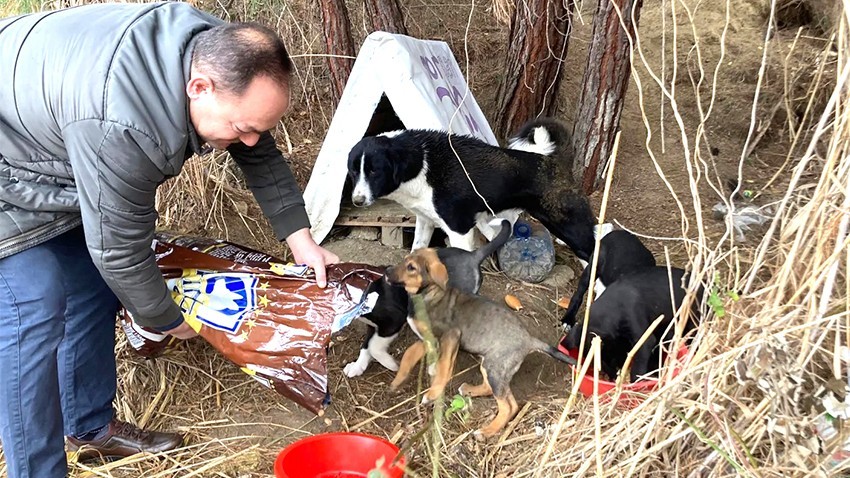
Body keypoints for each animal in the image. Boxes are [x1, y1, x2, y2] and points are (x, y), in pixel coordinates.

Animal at [340, 218, 510, 380]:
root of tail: (473, 256)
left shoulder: (392, 321)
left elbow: (374, 347)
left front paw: (391, 364)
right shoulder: (373, 326)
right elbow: (366, 346)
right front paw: (357, 366)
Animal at [348, 119, 592, 262]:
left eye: (374, 171)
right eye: (352, 172)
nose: (357, 201)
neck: (421, 164)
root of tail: (553, 161)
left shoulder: (460, 230)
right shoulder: (425, 220)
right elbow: (417, 249)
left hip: (570, 228)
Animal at [386, 248, 572, 438]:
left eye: (411, 267)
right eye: (405, 260)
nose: (386, 271)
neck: (428, 294)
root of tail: (528, 339)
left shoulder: (451, 335)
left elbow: (444, 367)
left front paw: (433, 393)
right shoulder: (428, 338)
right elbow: (409, 354)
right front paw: (397, 380)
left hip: (494, 367)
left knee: (507, 406)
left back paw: (487, 431)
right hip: (492, 366)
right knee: (503, 397)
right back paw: (470, 391)